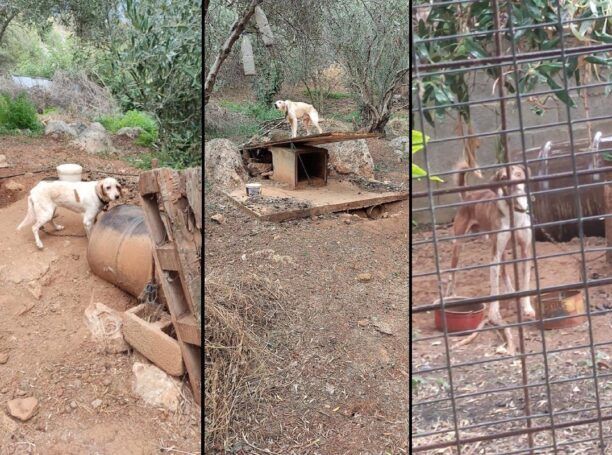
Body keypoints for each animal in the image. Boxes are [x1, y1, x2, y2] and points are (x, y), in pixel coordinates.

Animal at [444, 162, 536, 354]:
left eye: (518, 174)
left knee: (505, 274)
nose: (514, 184)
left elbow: (525, 282)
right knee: (452, 272)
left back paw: (511, 292)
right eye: (503, 177)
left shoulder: (525, 251)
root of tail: (469, 195)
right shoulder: (495, 253)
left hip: (502, 251)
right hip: (460, 244)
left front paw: (527, 308)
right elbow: (494, 288)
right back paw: (450, 293)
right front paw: (494, 313)